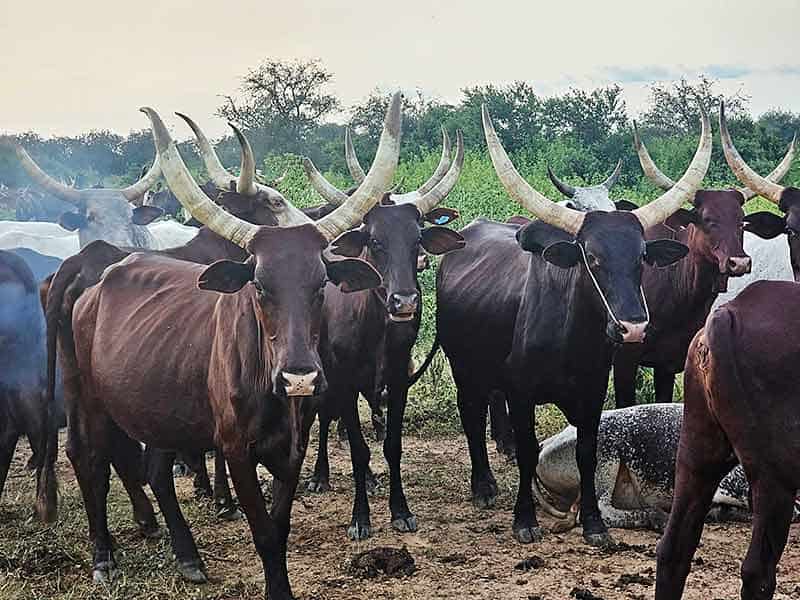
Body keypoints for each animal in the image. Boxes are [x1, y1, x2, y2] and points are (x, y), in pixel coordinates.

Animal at [48, 95, 398, 600]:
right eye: (259, 285)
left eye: (321, 284)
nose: (299, 378)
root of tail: (92, 271)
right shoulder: (234, 449)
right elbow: (263, 532)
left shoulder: (293, 449)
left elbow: (280, 527)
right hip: (84, 396)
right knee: (87, 456)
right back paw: (104, 556)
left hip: (159, 406)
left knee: (154, 470)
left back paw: (188, 556)